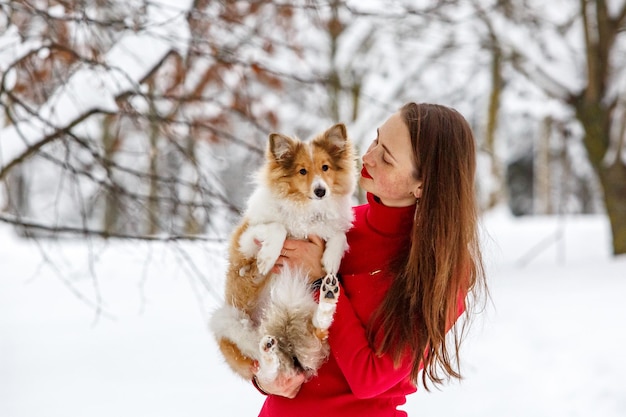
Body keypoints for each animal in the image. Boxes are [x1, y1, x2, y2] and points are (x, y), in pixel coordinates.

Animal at [210, 122, 356, 386]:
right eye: (302, 171)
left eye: (325, 167)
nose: (321, 191)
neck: (305, 210)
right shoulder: (245, 241)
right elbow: (277, 227)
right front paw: (267, 259)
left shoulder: (330, 227)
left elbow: (339, 234)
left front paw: (330, 259)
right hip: (228, 323)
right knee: (265, 370)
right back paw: (268, 350)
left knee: (318, 329)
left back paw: (329, 294)